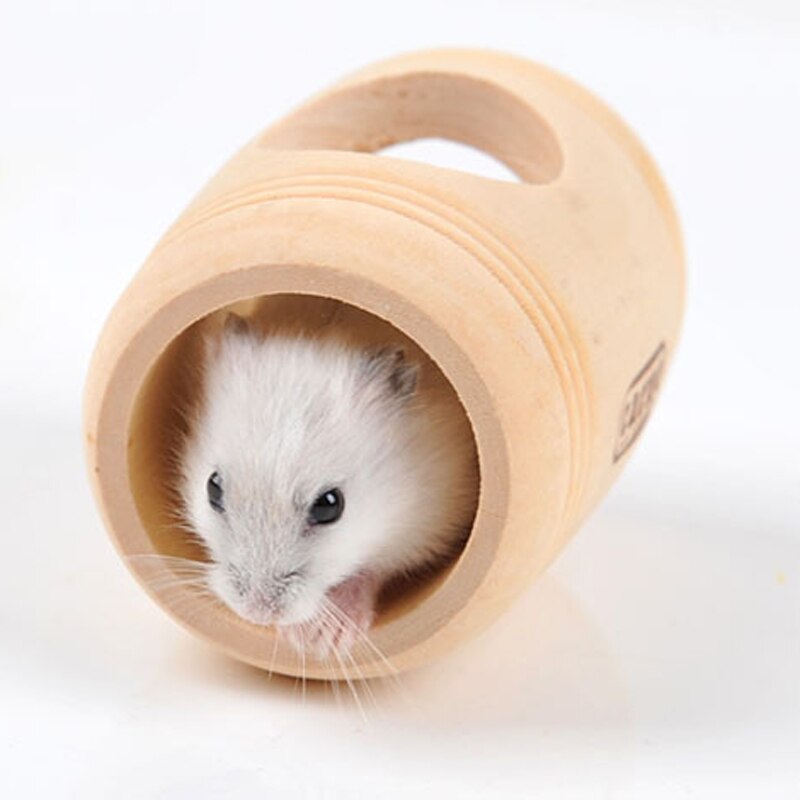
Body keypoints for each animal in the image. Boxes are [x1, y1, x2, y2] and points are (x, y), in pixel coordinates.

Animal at [179, 309, 478, 660]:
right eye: (212, 489)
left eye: (330, 506)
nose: (256, 613)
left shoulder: (427, 524)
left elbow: (374, 568)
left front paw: (317, 640)